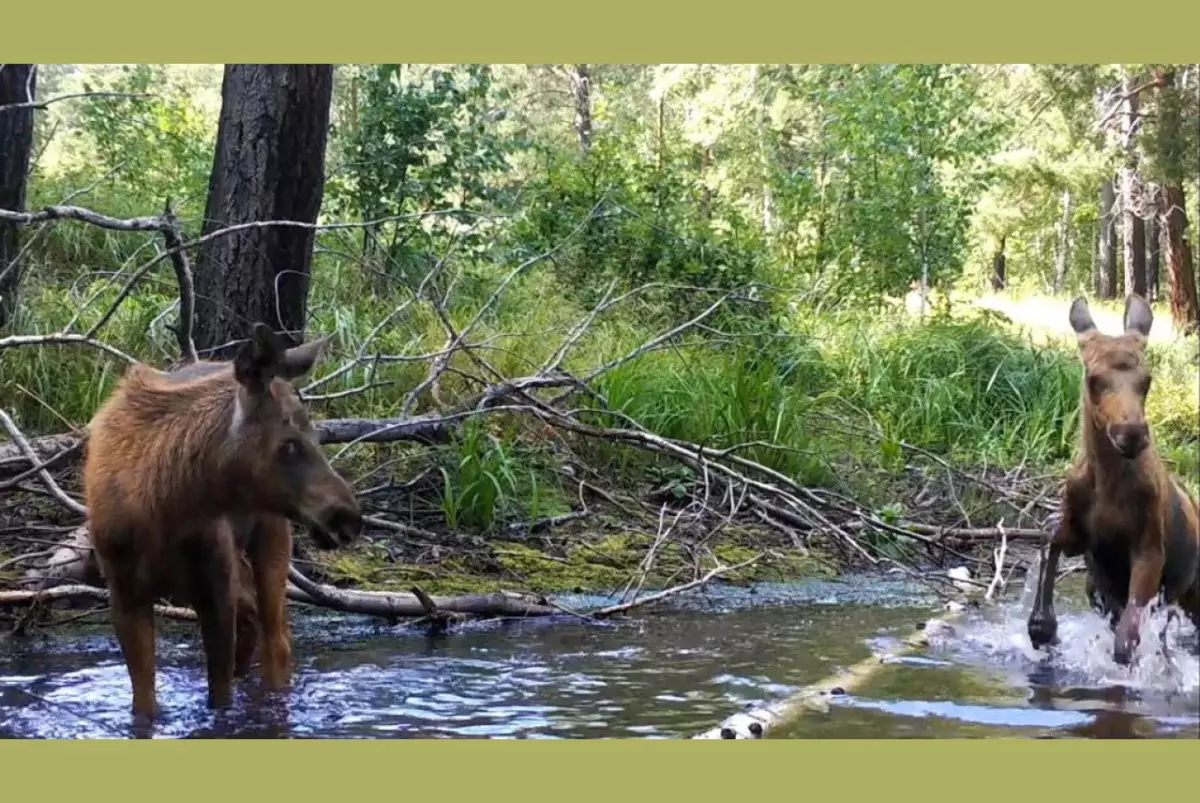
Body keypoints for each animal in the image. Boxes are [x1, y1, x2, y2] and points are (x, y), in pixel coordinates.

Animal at [83, 321, 360, 724]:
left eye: (318, 435)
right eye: (288, 444)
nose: (348, 517)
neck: (162, 507)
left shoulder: (214, 590)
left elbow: (220, 697)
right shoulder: (124, 595)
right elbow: (144, 705)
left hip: (270, 535)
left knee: (276, 638)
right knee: (254, 623)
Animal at [1022, 294, 1200, 662]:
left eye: (1147, 380)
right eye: (1093, 377)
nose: (1130, 433)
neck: (1107, 482)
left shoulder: (1149, 548)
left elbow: (1126, 642)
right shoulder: (1081, 537)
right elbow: (1050, 535)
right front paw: (1043, 625)